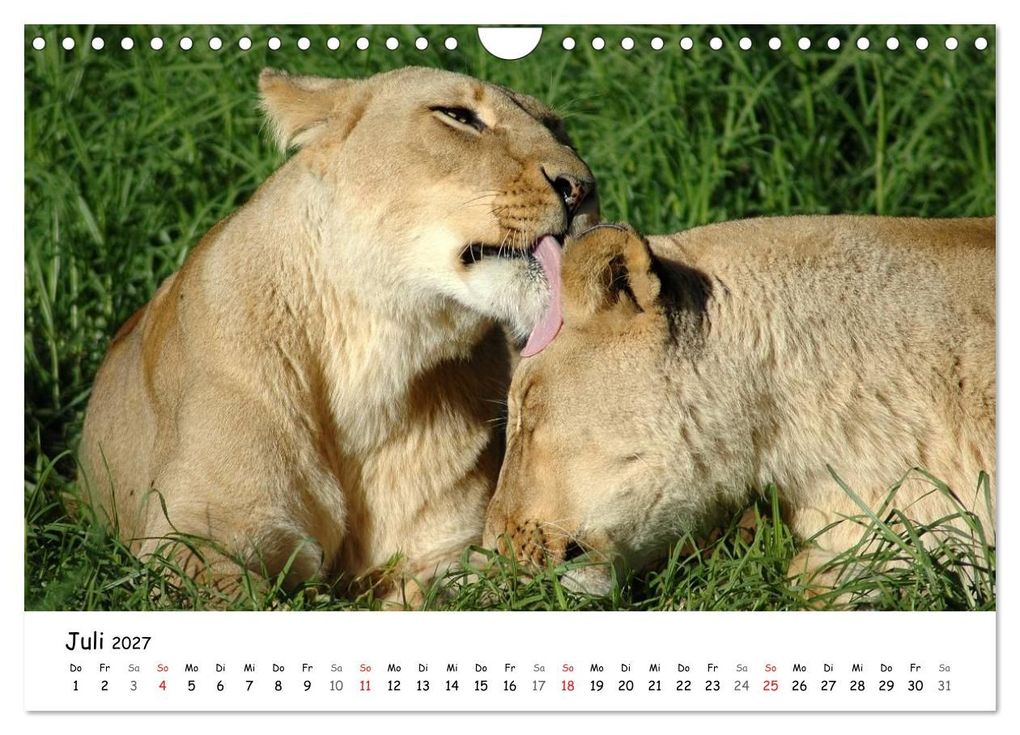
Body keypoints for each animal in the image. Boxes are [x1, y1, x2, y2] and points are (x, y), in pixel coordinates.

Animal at [78, 66, 597, 603]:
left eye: (556, 126)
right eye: (458, 116)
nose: (582, 189)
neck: (375, 358)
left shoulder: (444, 552)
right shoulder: (190, 542)